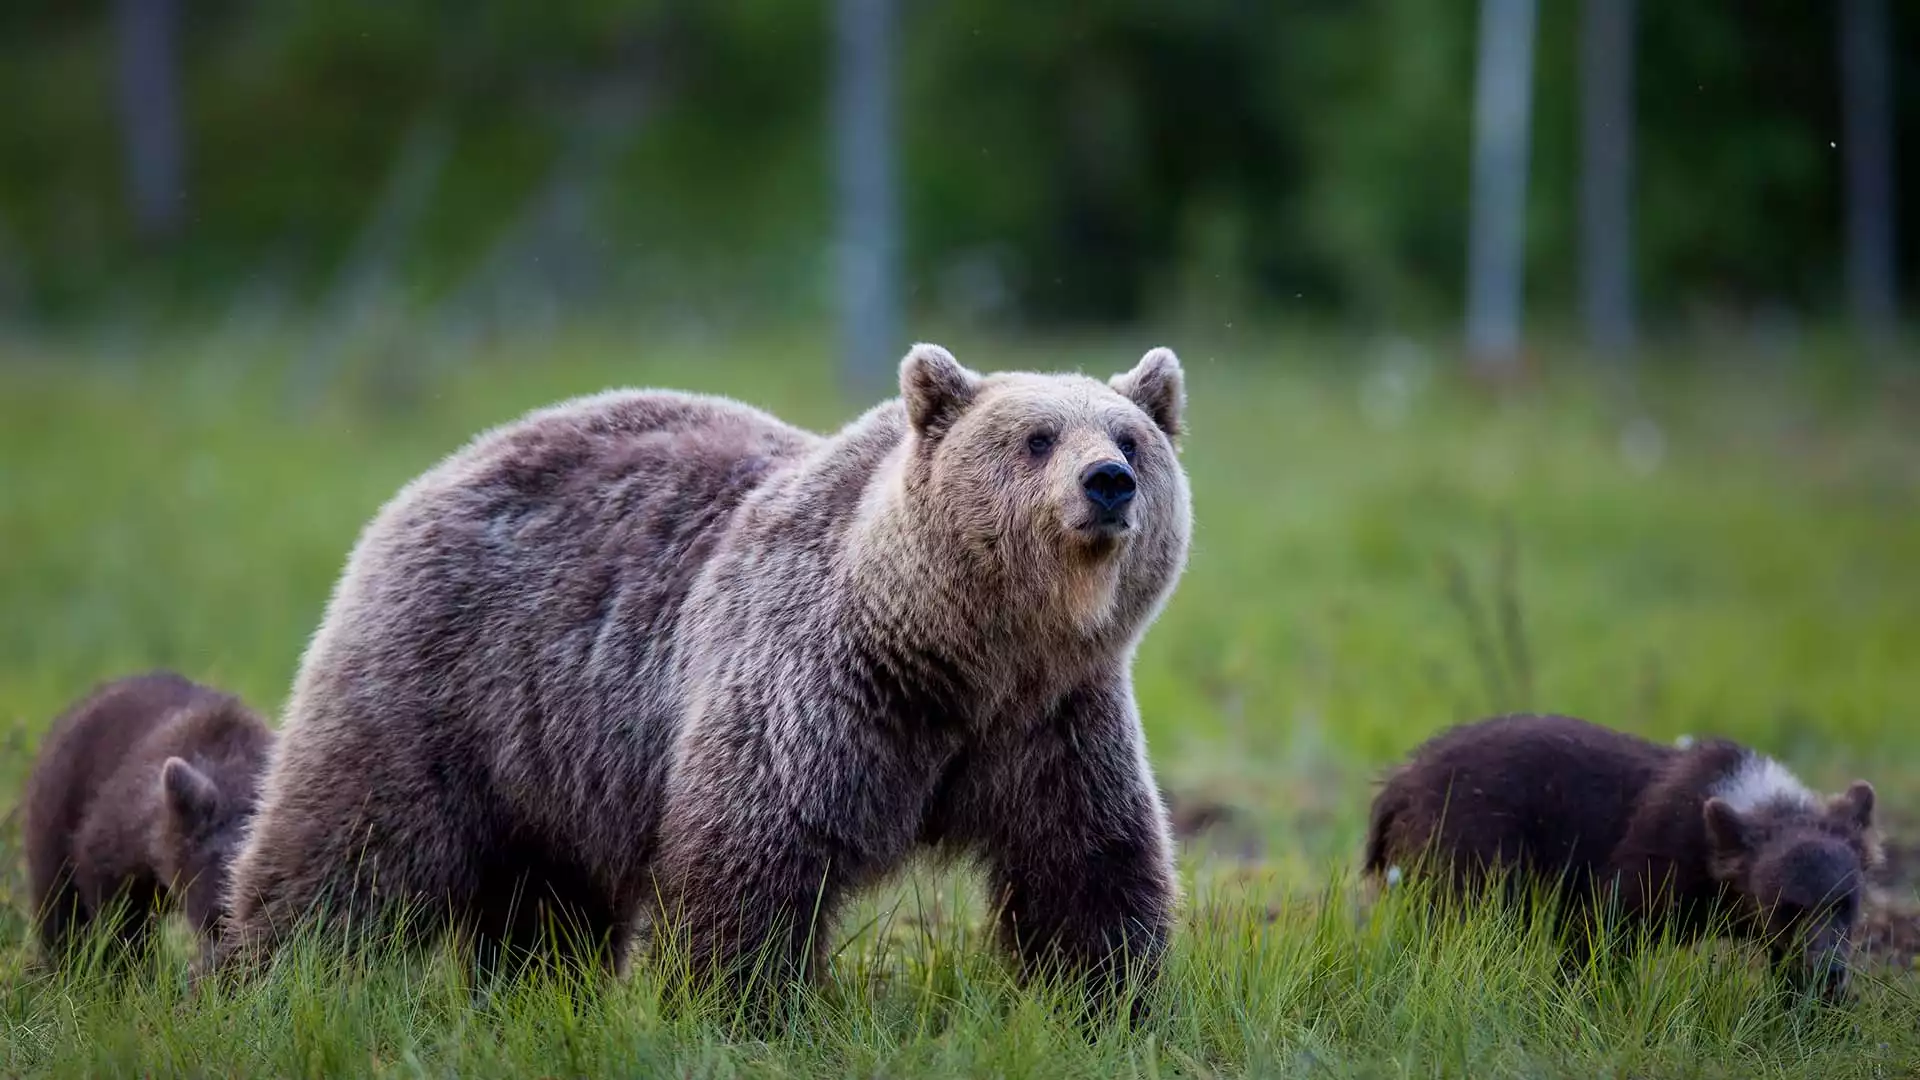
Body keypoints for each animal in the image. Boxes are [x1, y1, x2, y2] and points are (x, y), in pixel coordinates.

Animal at [217, 342, 1190, 1006]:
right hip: (439, 679)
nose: (1108, 482)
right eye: (1037, 438)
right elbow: (752, 858)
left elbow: (1089, 866)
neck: (960, 653)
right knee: (345, 851)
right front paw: (749, 1007)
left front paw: (1110, 1003)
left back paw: (534, 993)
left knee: (544, 903)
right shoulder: (819, 694)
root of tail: (447, 464)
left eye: (1131, 437)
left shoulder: (1052, 723)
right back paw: (263, 980)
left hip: (553, 757)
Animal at [1367, 711, 1873, 999]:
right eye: (1787, 908)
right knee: (1470, 925)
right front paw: (1572, 1001)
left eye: (1845, 905)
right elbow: (1599, 931)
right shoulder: (1652, 858)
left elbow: (1785, 967)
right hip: (1468, 842)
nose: (1830, 971)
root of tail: (1398, 783)